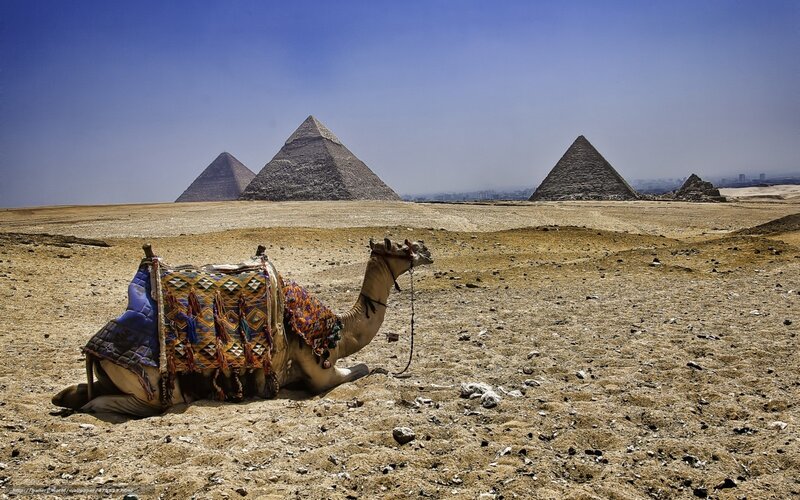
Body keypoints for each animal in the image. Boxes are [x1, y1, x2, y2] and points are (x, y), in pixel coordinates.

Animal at [52, 238, 432, 417]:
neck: (338, 329)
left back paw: (65, 397)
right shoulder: (317, 369)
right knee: (114, 403)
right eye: (403, 247)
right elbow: (361, 368)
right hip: (154, 388)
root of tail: (95, 350)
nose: (427, 251)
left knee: (80, 391)